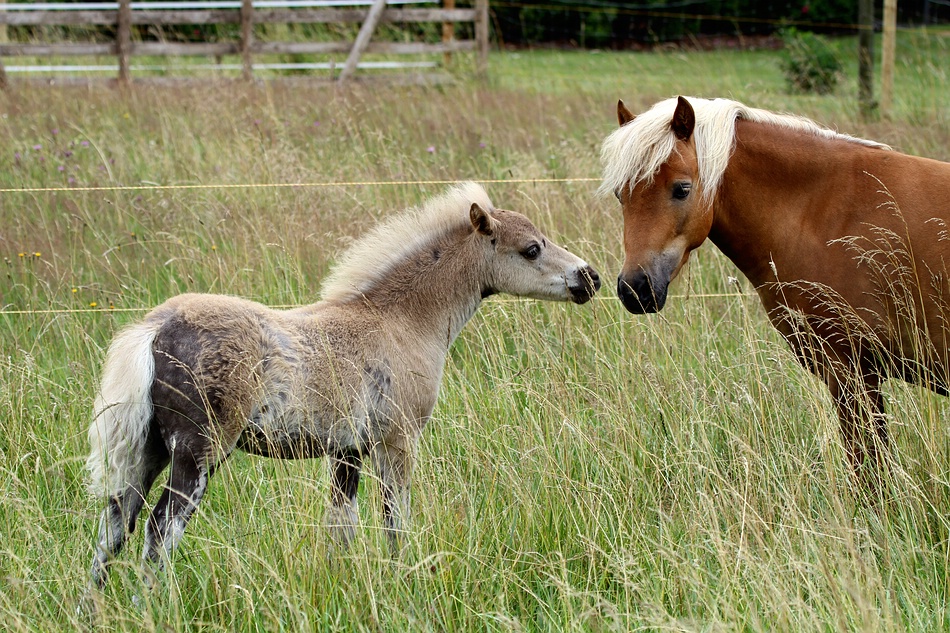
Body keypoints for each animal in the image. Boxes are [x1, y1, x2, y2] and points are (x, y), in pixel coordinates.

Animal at [604, 96, 950, 486]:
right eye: (620, 194)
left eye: (682, 189)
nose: (634, 288)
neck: (823, 211)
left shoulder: (852, 371)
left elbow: (869, 471)